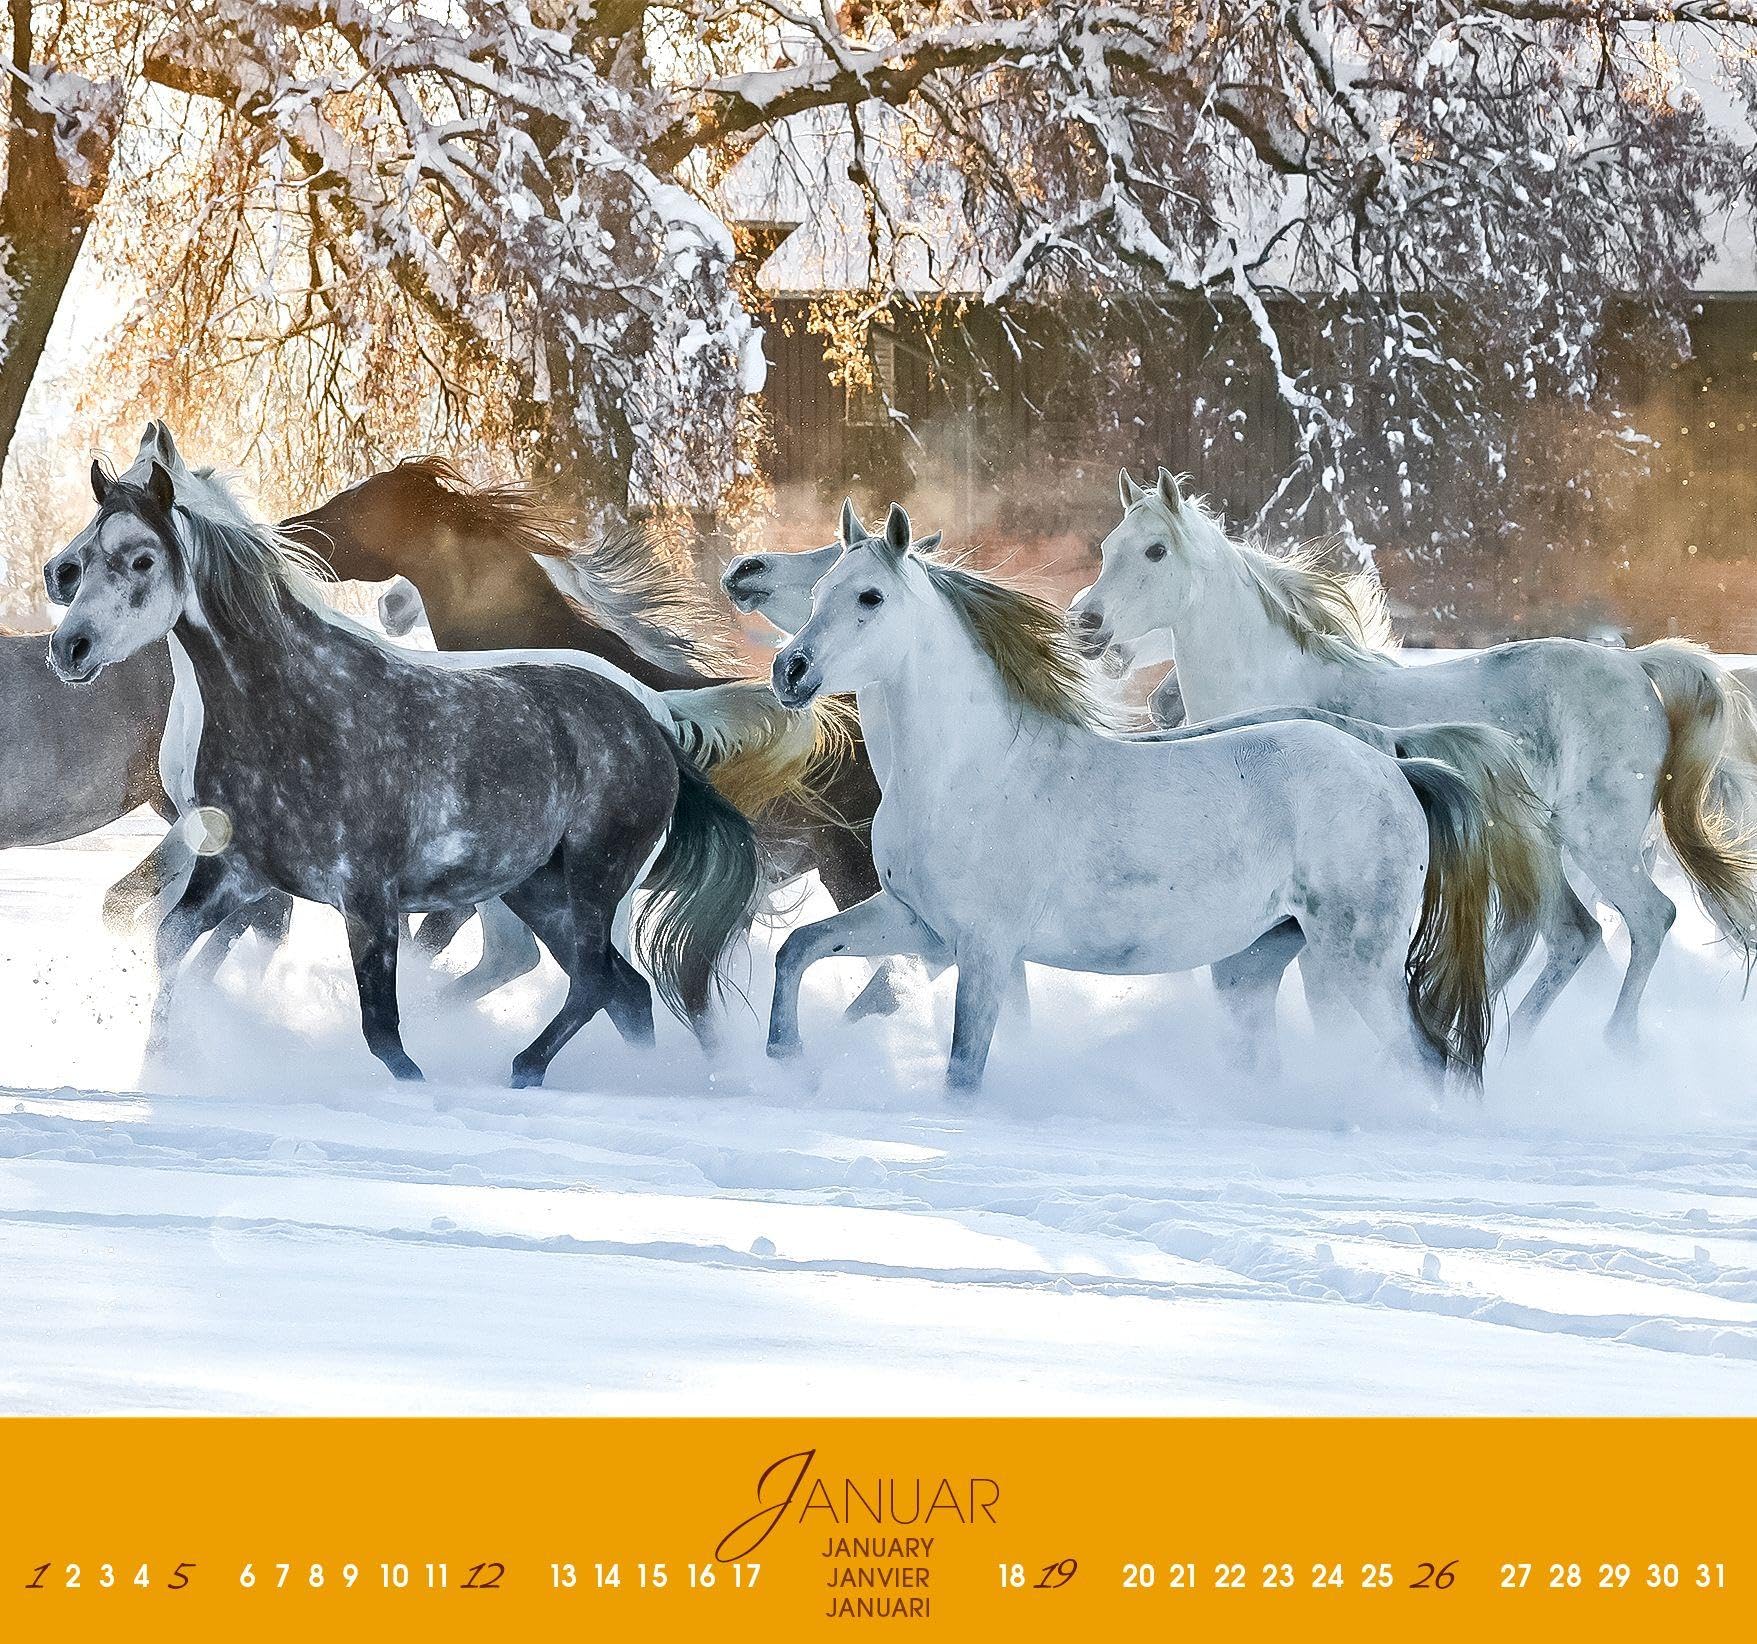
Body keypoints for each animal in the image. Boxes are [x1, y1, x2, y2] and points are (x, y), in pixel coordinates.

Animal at [43, 449, 762, 1088]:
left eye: (141, 558)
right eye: (85, 562)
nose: (68, 647)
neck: (293, 710)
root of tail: (654, 722)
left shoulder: (367, 894)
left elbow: (382, 1029)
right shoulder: (237, 873)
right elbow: (169, 945)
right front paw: (162, 1065)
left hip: (593, 879)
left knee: (594, 982)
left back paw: (531, 1069)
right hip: (538, 889)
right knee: (624, 991)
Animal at [765, 501, 1555, 1096]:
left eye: (869, 597)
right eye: (818, 593)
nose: (789, 670)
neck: (968, 772)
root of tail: (1392, 763)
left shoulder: (985, 947)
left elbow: (964, 1068)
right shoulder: (920, 925)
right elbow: (799, 950)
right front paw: (782, 1059)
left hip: (1356, 963)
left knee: (1428, 1060)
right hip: (1256, 964)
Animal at [1071, 468, 1757, 1045]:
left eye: (1155, 551)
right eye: (1108, 547)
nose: (1086, 624)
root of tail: (1636, 667)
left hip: (1598, 840)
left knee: (1650, 918)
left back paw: (1614, 1044)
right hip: (1544, 849)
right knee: (1572, 937)